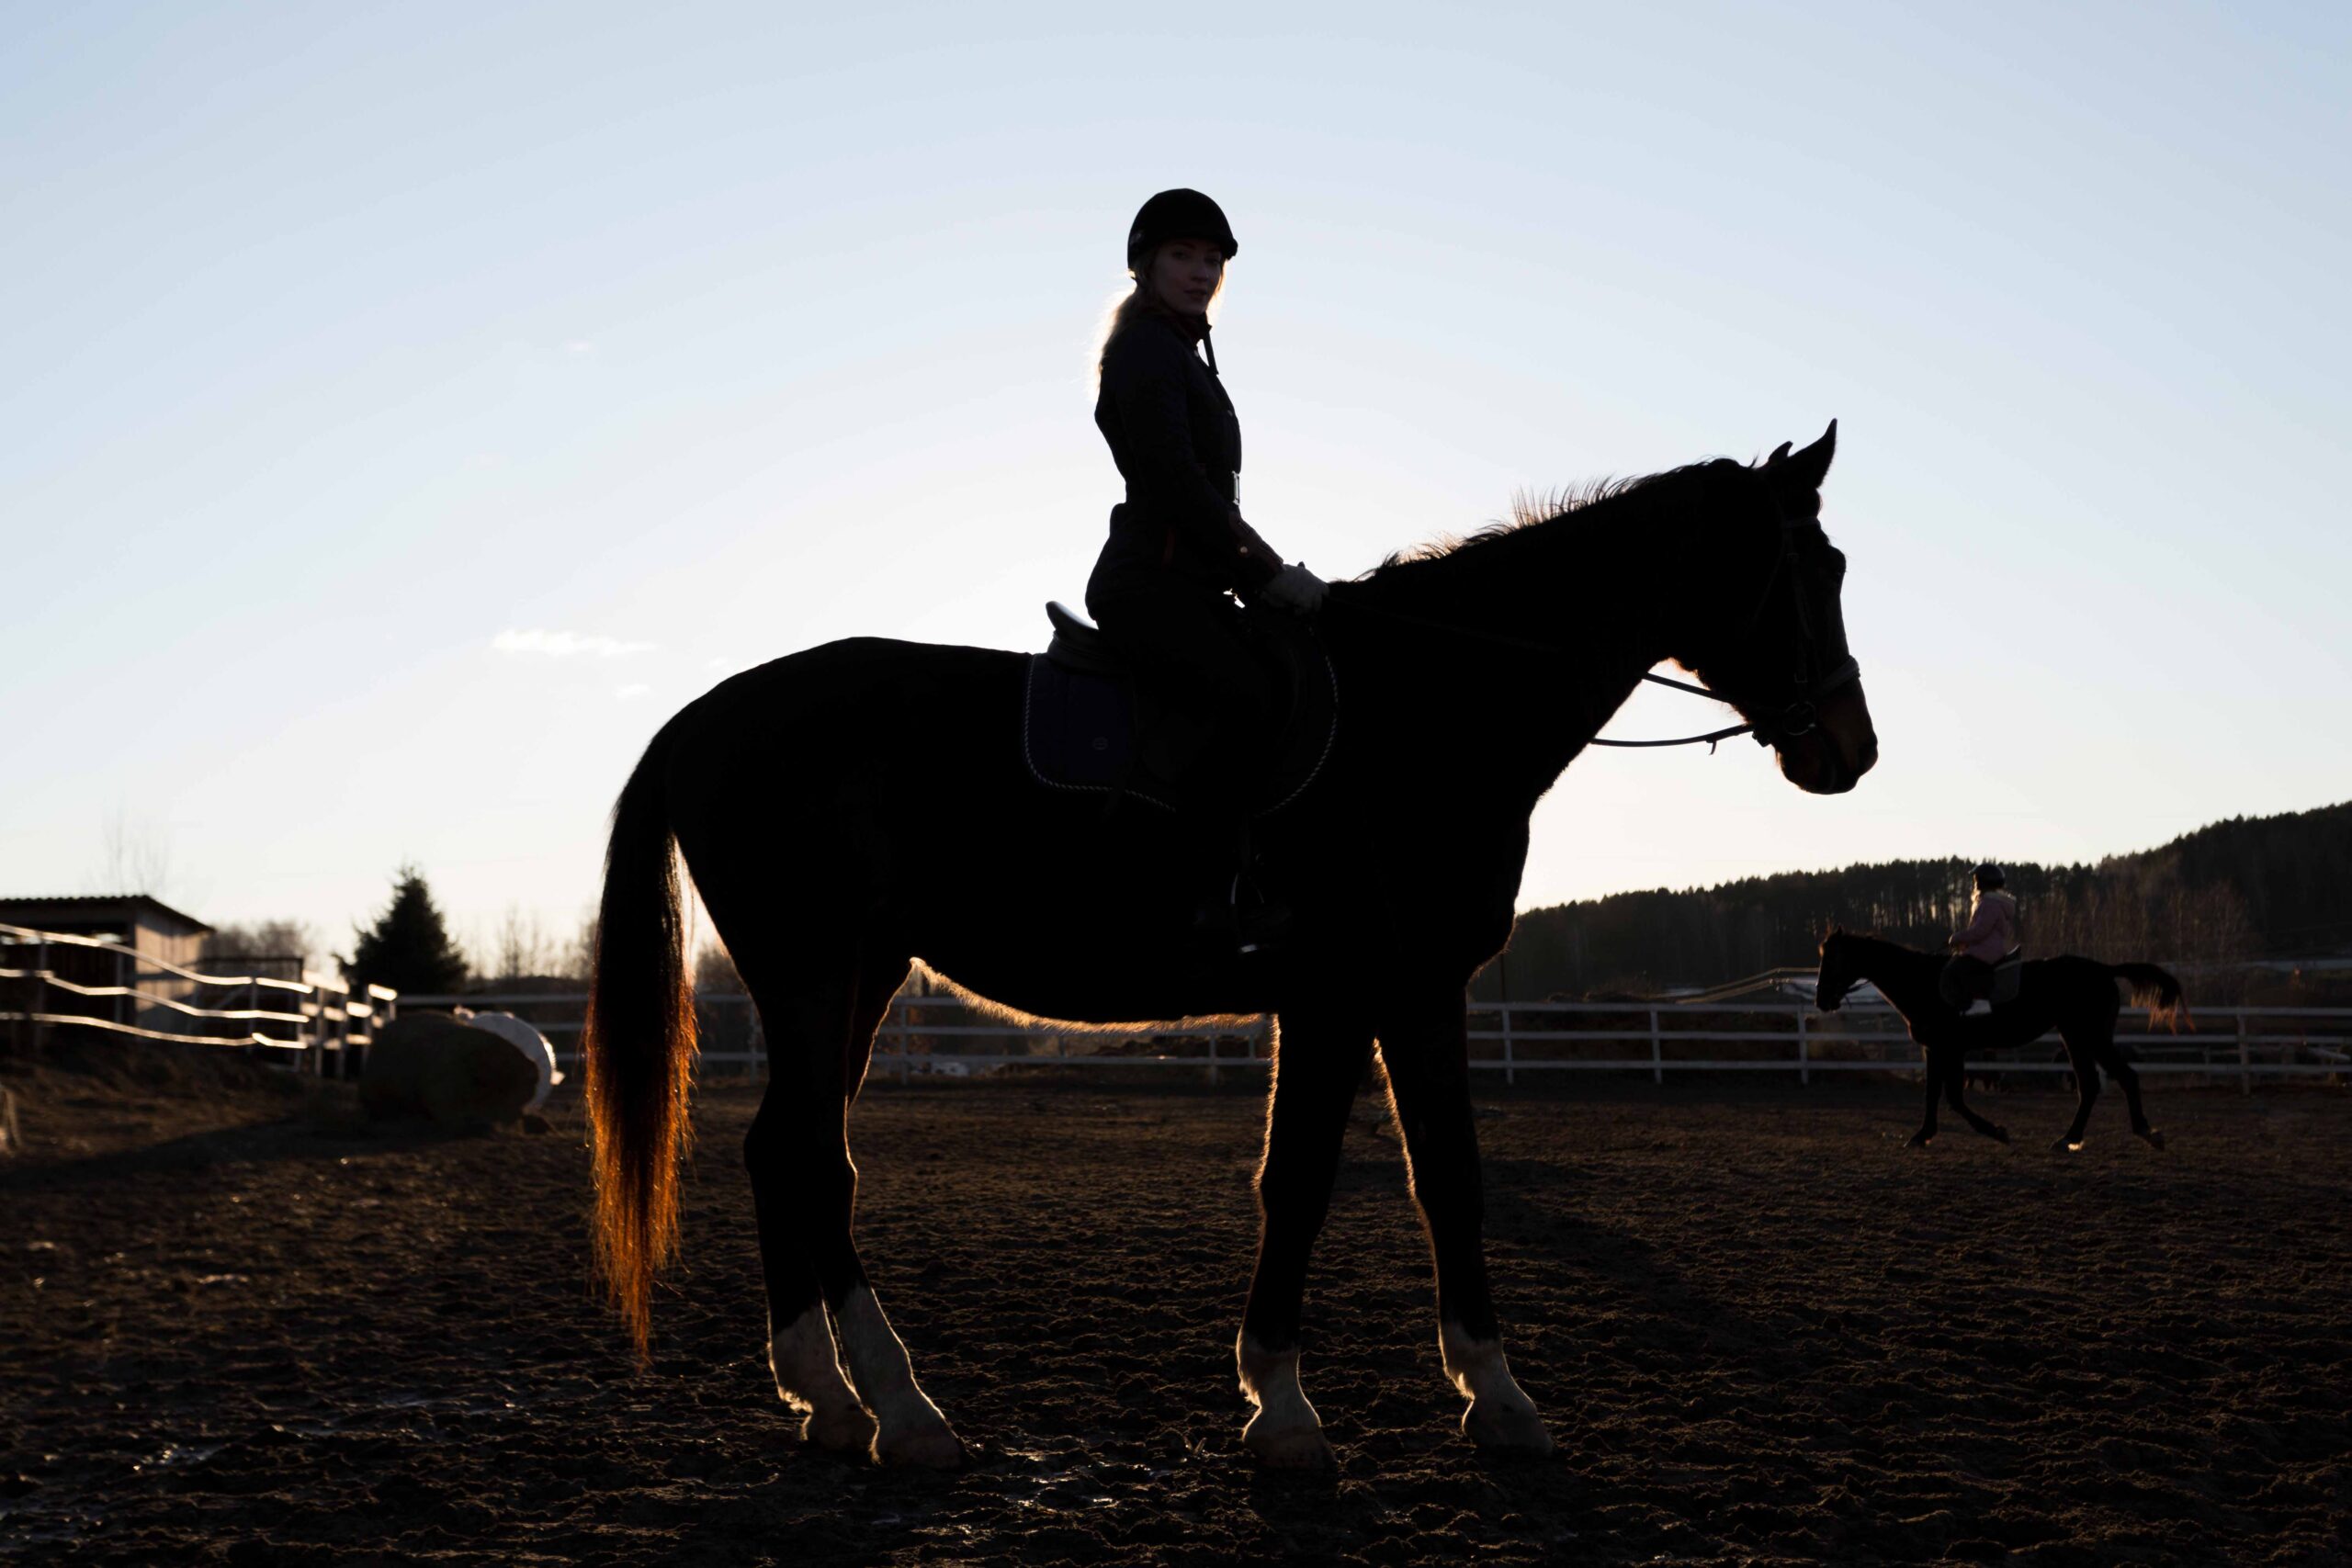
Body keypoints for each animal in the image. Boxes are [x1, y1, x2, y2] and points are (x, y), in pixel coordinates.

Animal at [581, 423, 1878, 1470]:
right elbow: (1296, 1181)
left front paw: (1499, 1399)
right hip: (813, 969)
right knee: (815, 1158)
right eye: (1814, 570)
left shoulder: (1421, 992)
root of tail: (705, 714)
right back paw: (904, 1413)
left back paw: (828, 1400)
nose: (1850, 749)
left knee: (779, 1150)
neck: (1429, 710)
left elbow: (1447, 1176)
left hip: (858, 976)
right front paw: (1286, 1411)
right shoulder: (1335, 997)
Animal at [1813, 929, 2187, 1153]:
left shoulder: (1950, 1049)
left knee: (2125, 1077)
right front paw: (1923, 1134)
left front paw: (1995, 1130)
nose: (1821, 1000)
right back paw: (2070, 1138)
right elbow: (1933, 1094)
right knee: (2091, 1085)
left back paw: (2146, 1132)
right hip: (2075, 1038)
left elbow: (1953, 1098)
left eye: (1830, 959)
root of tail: (2105, 969)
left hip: (2090, 1037)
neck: (1924, 982)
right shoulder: (1934, 1050)